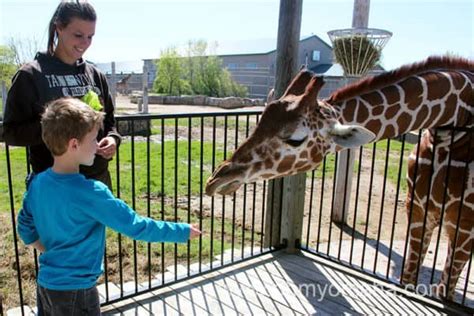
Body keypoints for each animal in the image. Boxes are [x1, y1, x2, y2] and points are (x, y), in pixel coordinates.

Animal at [206, 55, 474, 300]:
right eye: (260, 120)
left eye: (296, 139)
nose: (216, 180)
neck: (453, 122)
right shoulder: (418, 211)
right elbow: (408, 279)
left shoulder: (464, 226)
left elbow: (444, 290)